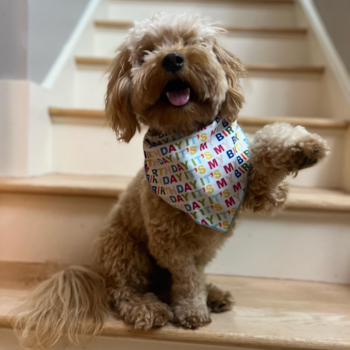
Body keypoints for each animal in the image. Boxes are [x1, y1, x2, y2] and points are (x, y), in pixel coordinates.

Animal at [14, 12, 330, 348]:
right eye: (146, 53)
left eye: (190, 41)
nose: (173, 58)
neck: (188, 137)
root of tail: (96, 272)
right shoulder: (170, 244)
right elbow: (187, 280)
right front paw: (192, 311)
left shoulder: (254, 191)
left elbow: (268, 145)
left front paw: (303, 147)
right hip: (123, 247)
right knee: (125, 291)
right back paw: (148, 308)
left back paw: (213, 294)